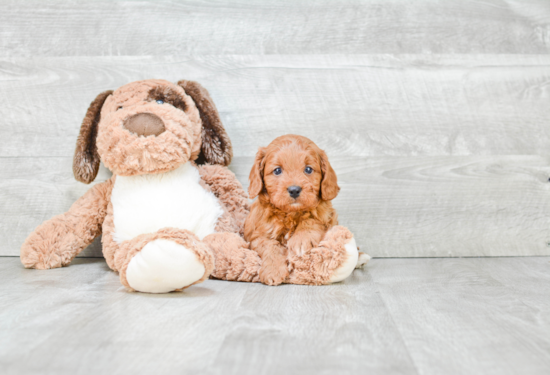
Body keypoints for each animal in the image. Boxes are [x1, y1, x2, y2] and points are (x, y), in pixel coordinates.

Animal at [245, 134, 366, 284]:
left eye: (308, 169)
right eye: (277, 170)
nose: (294, 190)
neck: (290, 213)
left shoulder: (326, 214)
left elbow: (312, 218)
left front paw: (301, 239)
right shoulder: (256, 235)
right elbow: (269, 245)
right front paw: (273, 270)